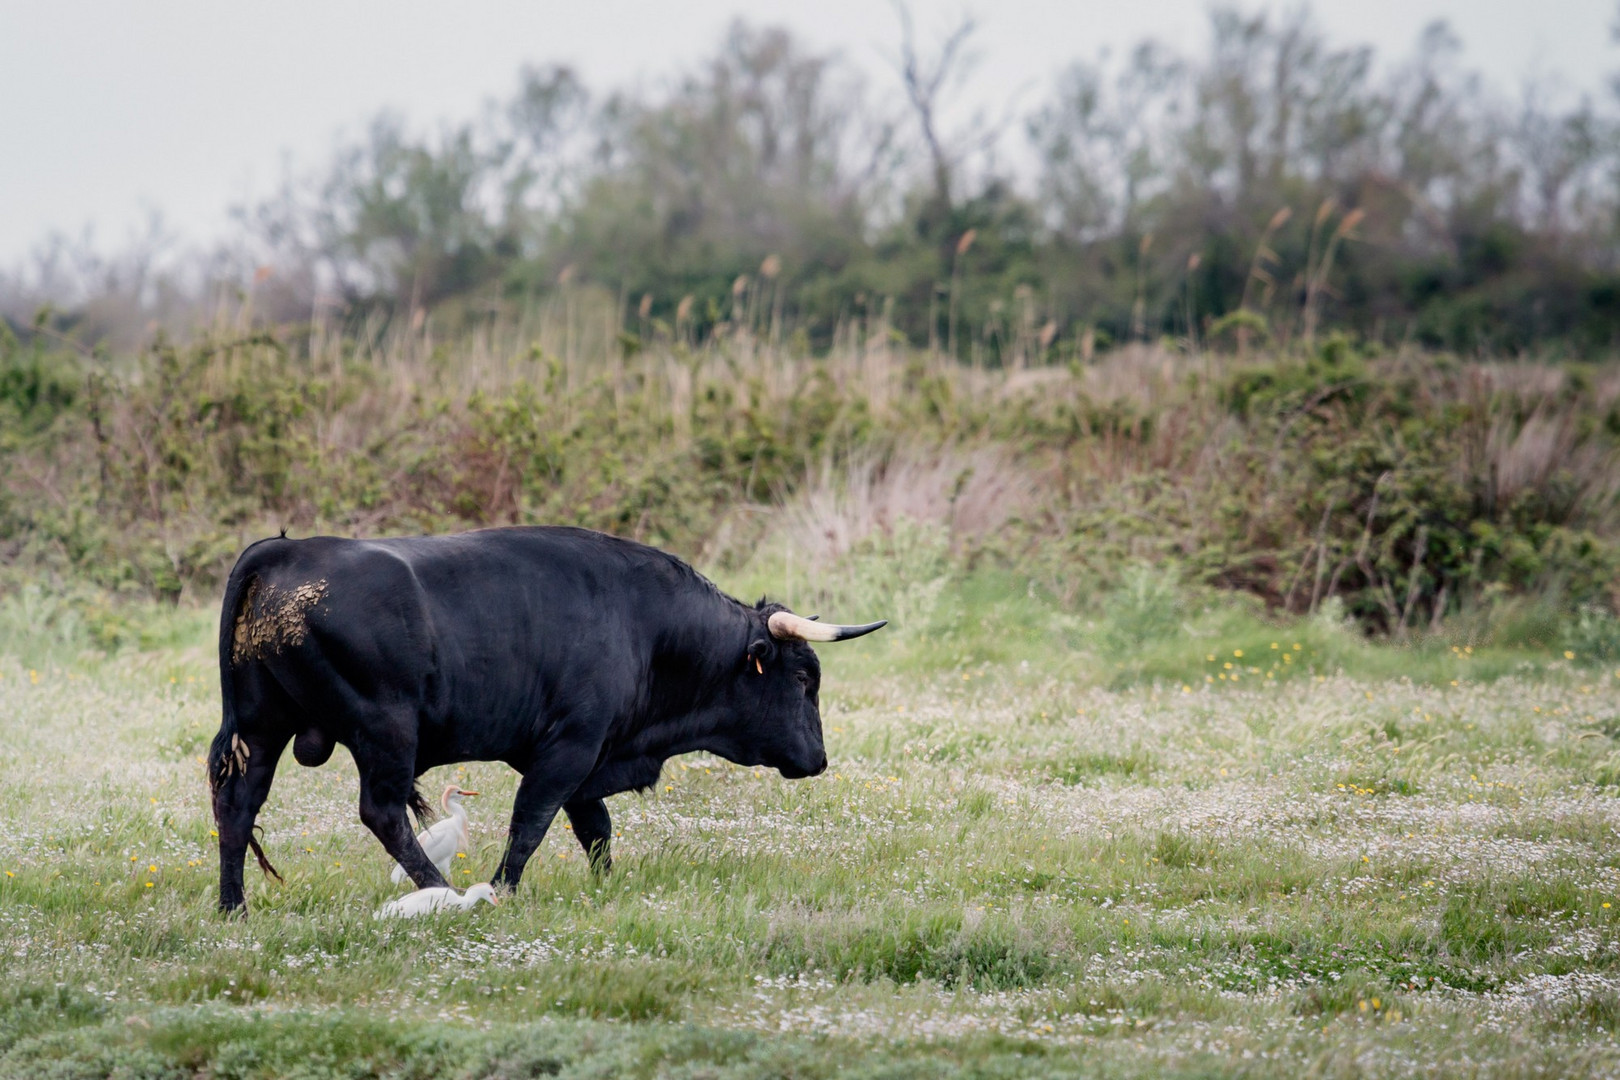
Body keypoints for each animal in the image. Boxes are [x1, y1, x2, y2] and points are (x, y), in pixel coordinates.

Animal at [207, 527, 887, 919]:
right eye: (803, 679)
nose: (819, 759)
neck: (644, 625)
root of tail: (287, 549)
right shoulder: (568, 749)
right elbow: (530, 824)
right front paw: (503, 892)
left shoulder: (588, 759)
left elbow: (596, 830)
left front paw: (605, 888)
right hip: (385, 732)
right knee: (383, 813)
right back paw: (441, 892)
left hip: (263, 728)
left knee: (237, 808)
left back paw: (233, 907)